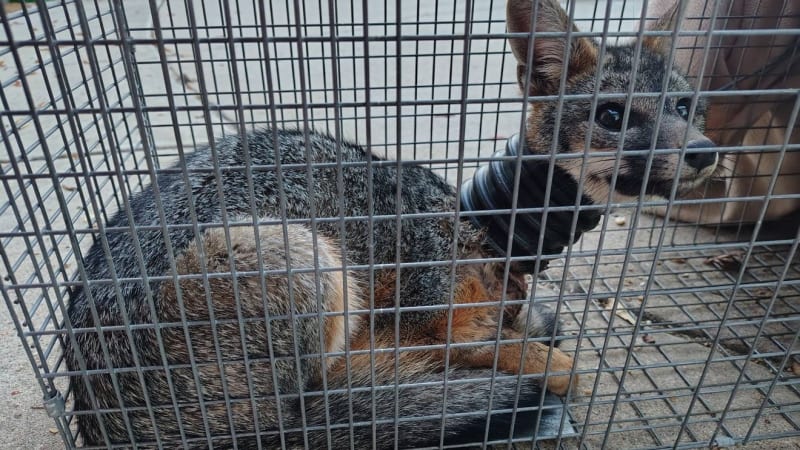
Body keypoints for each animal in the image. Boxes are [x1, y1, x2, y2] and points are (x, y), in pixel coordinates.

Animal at [64, 0, 718, 448]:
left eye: (686, 108)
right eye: (613, 115)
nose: (706, 153)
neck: (488, 227)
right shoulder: (429, 325)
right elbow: (527, 354)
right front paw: (539, 363)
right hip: (299, 258)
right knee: (331, 399)